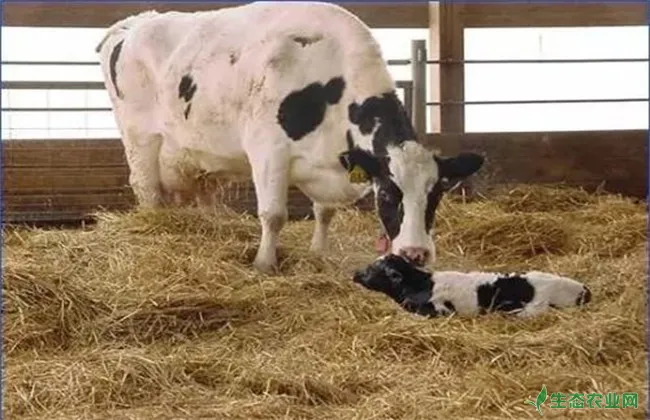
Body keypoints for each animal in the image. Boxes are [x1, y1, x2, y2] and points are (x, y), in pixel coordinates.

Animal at [95, 1, 480, 274]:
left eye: (437, 194)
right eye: (386, 194)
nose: (416, 254)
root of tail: (135, 22)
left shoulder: (330, 162)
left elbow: (325, 211)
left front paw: (318, 251)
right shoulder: (268, 151)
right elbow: (274, 215)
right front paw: (265, 263)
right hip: (140, 137)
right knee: (147, 190)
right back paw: (155, 228)